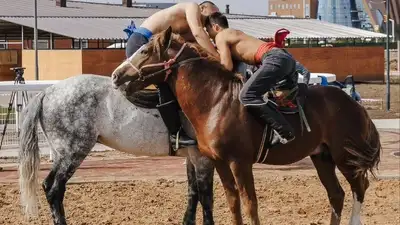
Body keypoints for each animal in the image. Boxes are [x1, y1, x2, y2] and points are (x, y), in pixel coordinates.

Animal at [18, 75, 214, 225]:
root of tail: (47, 92)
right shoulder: (203, 159)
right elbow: (206, 197)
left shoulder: (193, 158)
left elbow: (193, 193)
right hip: (73, 154)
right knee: (55, 190)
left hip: (64, 155)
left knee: (49, 186)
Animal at [110, 28, 382, 225]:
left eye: (145, 50)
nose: (116, 75)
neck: (216, 101)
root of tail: (353, 103)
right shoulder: (219, 162)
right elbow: (233, 203)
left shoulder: (239, 162)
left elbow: (250, 204)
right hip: (322, 157)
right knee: (337, 195)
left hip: (345, 157)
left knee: (360, 187)